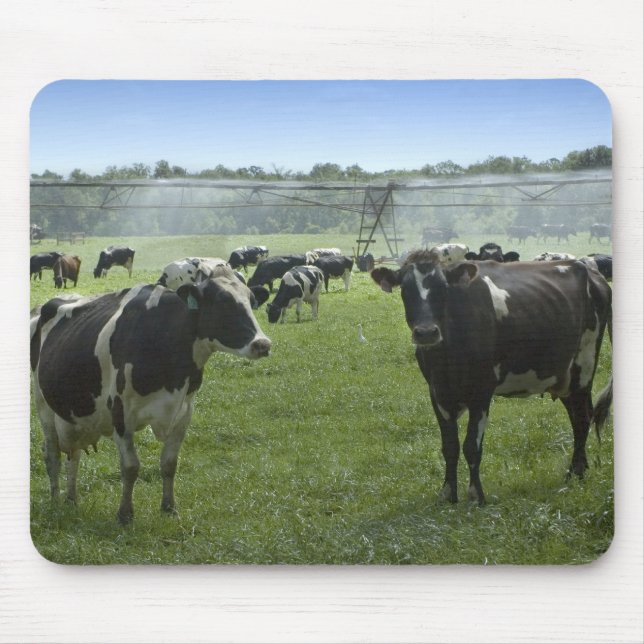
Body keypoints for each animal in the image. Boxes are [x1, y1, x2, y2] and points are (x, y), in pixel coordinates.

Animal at [30, 267, 272, 524]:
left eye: (251, 300)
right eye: (222, 301)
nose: (262, 344)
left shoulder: (184, 411)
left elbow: (169, 463)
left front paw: (169, 508)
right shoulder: (121, 413)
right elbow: (130, 467)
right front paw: (125, 514)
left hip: (74, 416)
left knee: (73, 456)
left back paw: (71, 499)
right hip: (44, 406)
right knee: (53, 454)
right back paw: (56, 501)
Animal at [370, 249, 612, 505]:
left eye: (443, 288)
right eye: (405, 290)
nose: (426, 333)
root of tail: (589, 270)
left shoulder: (482, 390)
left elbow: (471, 446)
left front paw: (476, 495)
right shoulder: (436, 391)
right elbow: (449, 446)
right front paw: (447, 494)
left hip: (583, 366)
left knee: (582, 418)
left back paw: (575, 472)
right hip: (563, 377)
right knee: (577, 417)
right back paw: (578, 471)